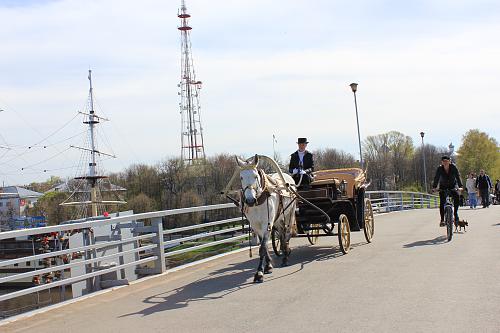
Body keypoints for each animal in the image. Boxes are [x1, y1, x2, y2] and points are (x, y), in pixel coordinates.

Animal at [235, 154, 296, 282]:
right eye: (241, 177)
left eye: (255, 176)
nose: (250, 200)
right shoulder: (256, 225)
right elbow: (264, 246)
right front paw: (268, 266)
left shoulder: (266, 224)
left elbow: (262, 248)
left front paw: (259, 272)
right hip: (277, 218)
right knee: (281, 233)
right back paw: (284, 250)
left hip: (290, 213)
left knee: (287, 234)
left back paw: (286, 256)